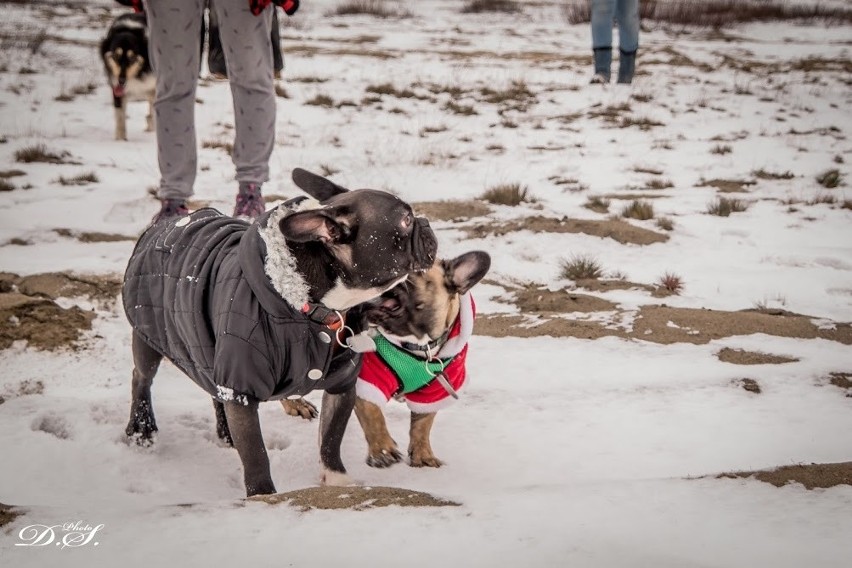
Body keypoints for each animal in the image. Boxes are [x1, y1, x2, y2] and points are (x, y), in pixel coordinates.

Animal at [121, 170, 440, 496]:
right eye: (405, 221)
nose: (426, 222)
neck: (319, 305)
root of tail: (161, 225)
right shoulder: (242, 386)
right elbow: (256, 453)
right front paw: (262, 496)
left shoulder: (341, 386)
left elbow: (331, 437)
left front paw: (337, 479)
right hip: (149, 336)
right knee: (141, 378)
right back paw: (142, 428)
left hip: (205, 345)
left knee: (214, 388)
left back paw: (226, 433)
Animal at [352, 251, 486, 468]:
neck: (418, 343)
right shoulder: (368, 378)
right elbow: (373, 415)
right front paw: (382, 449)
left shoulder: (434, 390)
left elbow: (423, 425)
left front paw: (423, 455)